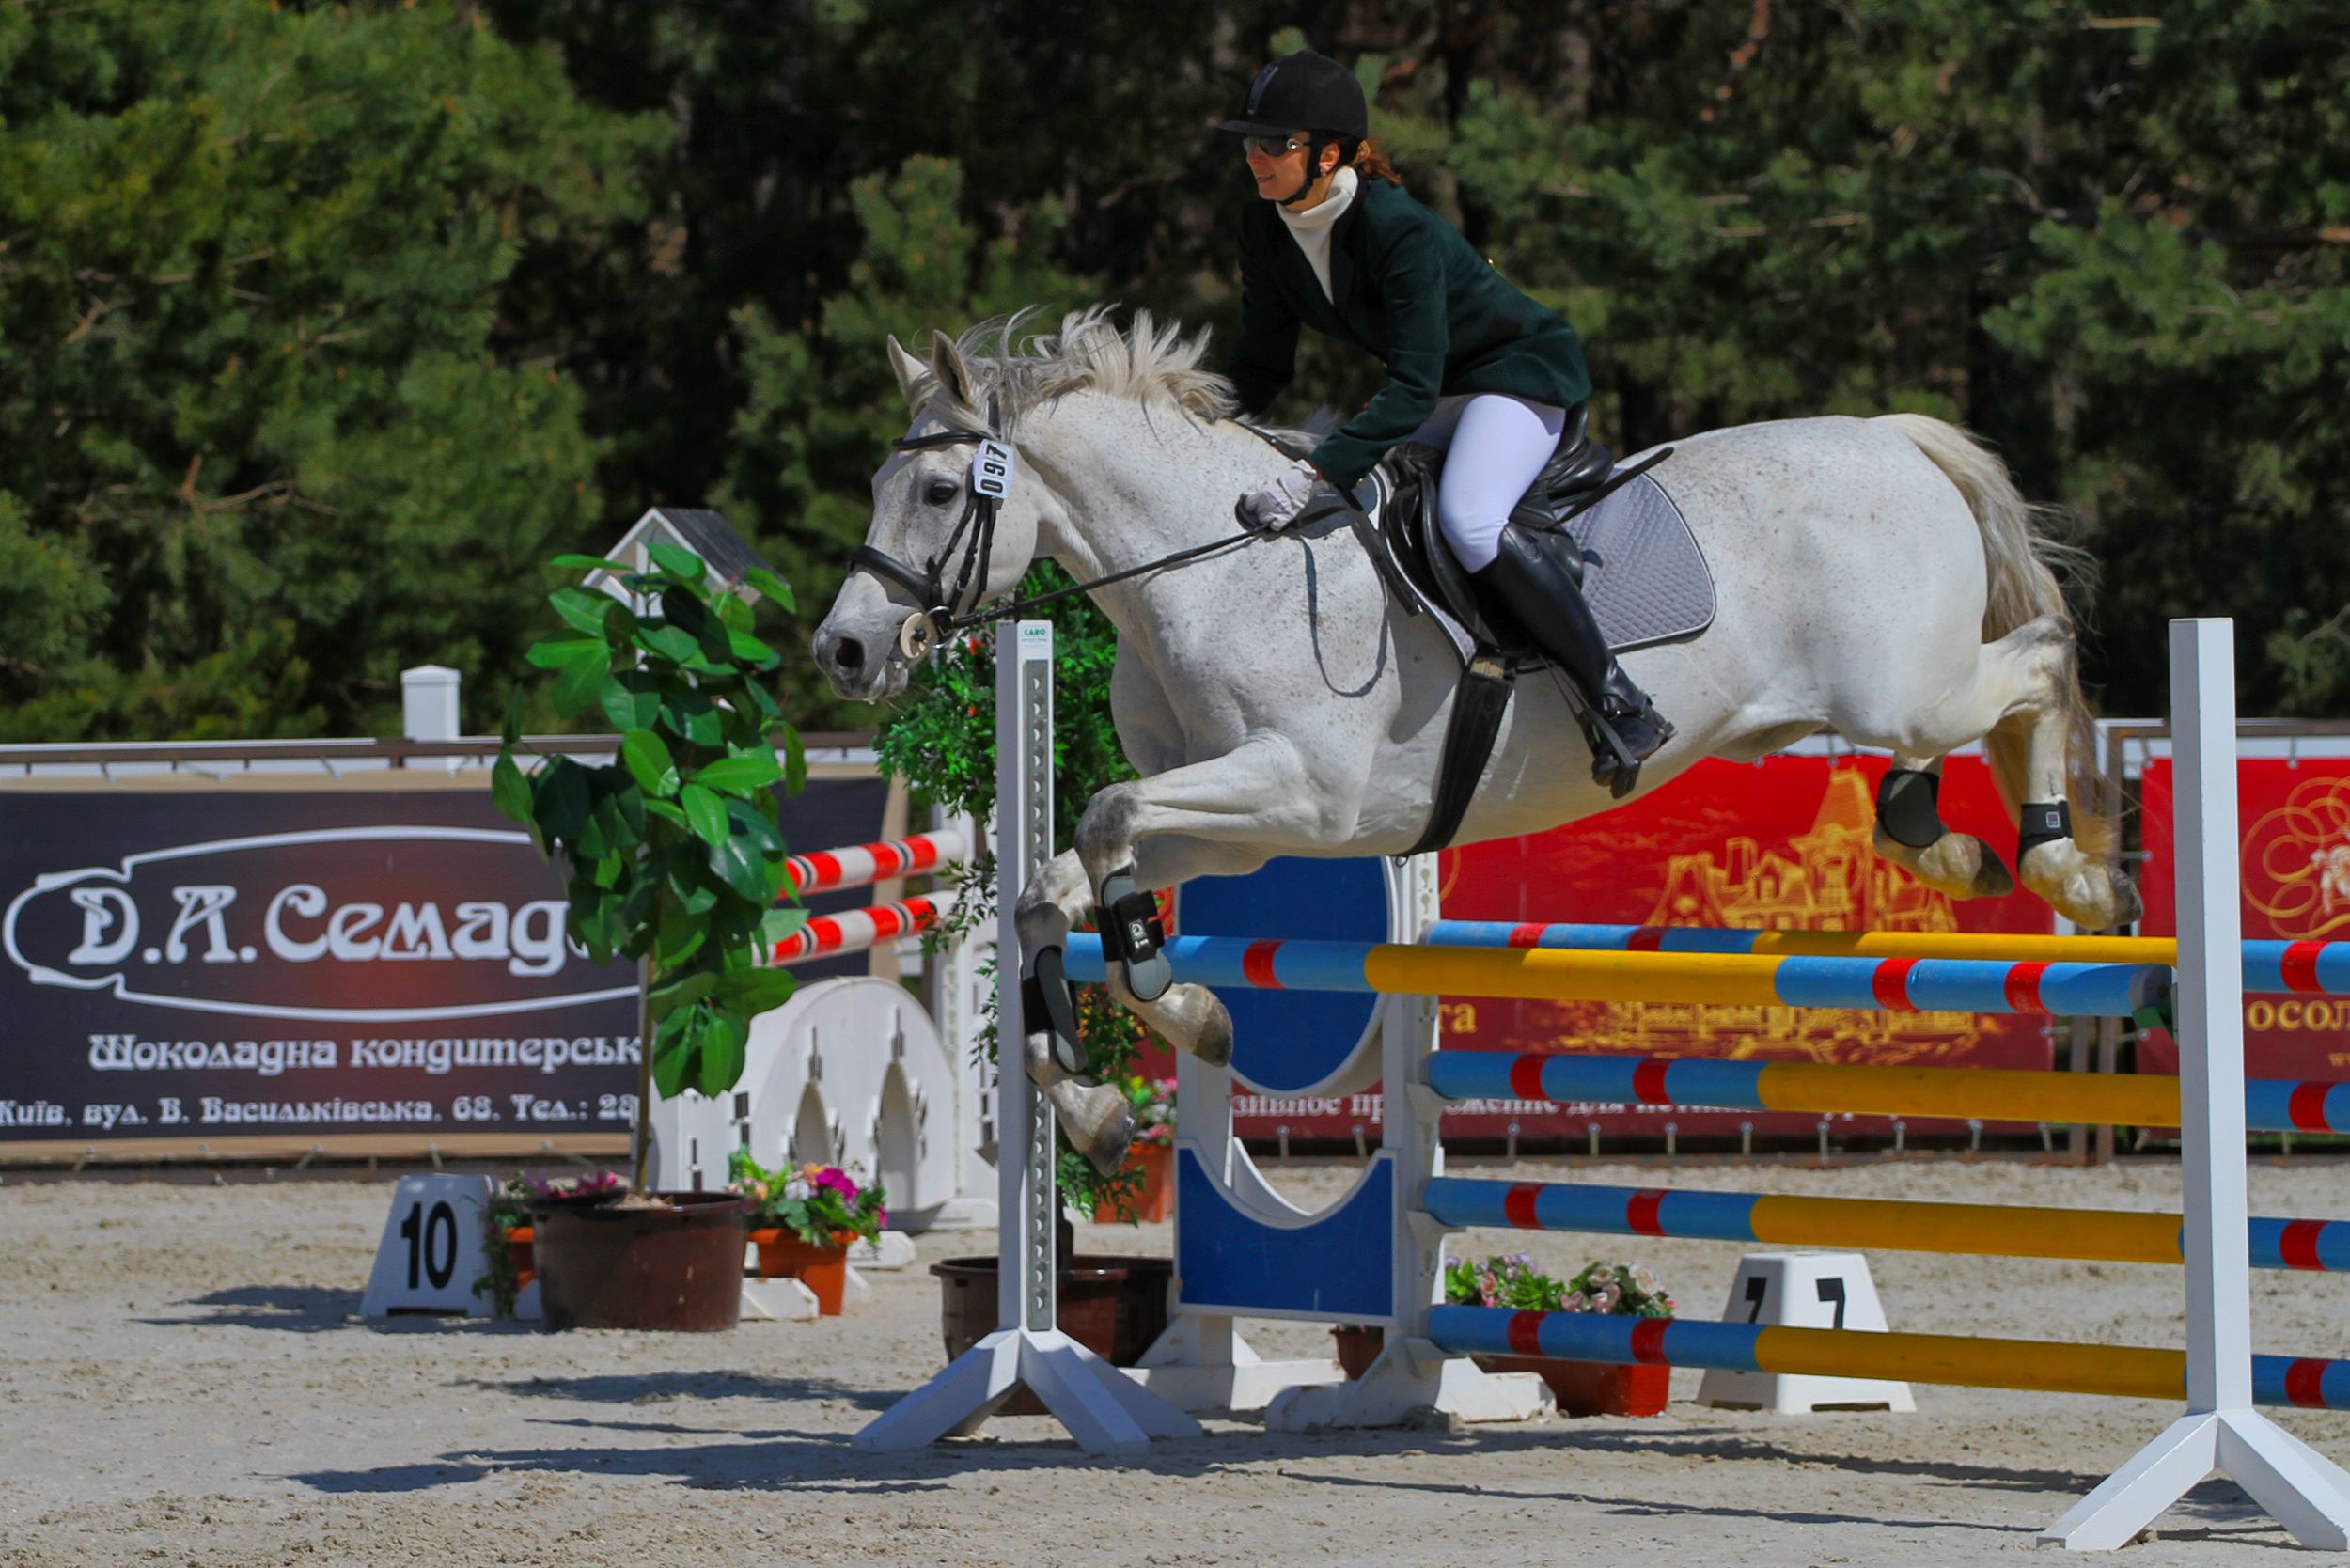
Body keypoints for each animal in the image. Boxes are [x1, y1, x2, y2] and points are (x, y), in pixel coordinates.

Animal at [812, 307, 2139, 1171]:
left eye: (939, 495)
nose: (846, 652)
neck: (1216, 568)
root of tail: (1893, 434)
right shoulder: (1233, 824)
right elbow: (1055, 883)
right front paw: (1106, 1094)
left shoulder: (1301, 796)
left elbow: (1103, 817)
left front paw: (1166, 994)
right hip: (1862, 703)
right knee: (1968, 725)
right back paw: (1952, 844)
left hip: (1902, 687)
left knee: (2039, 659)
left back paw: (2072, 869)